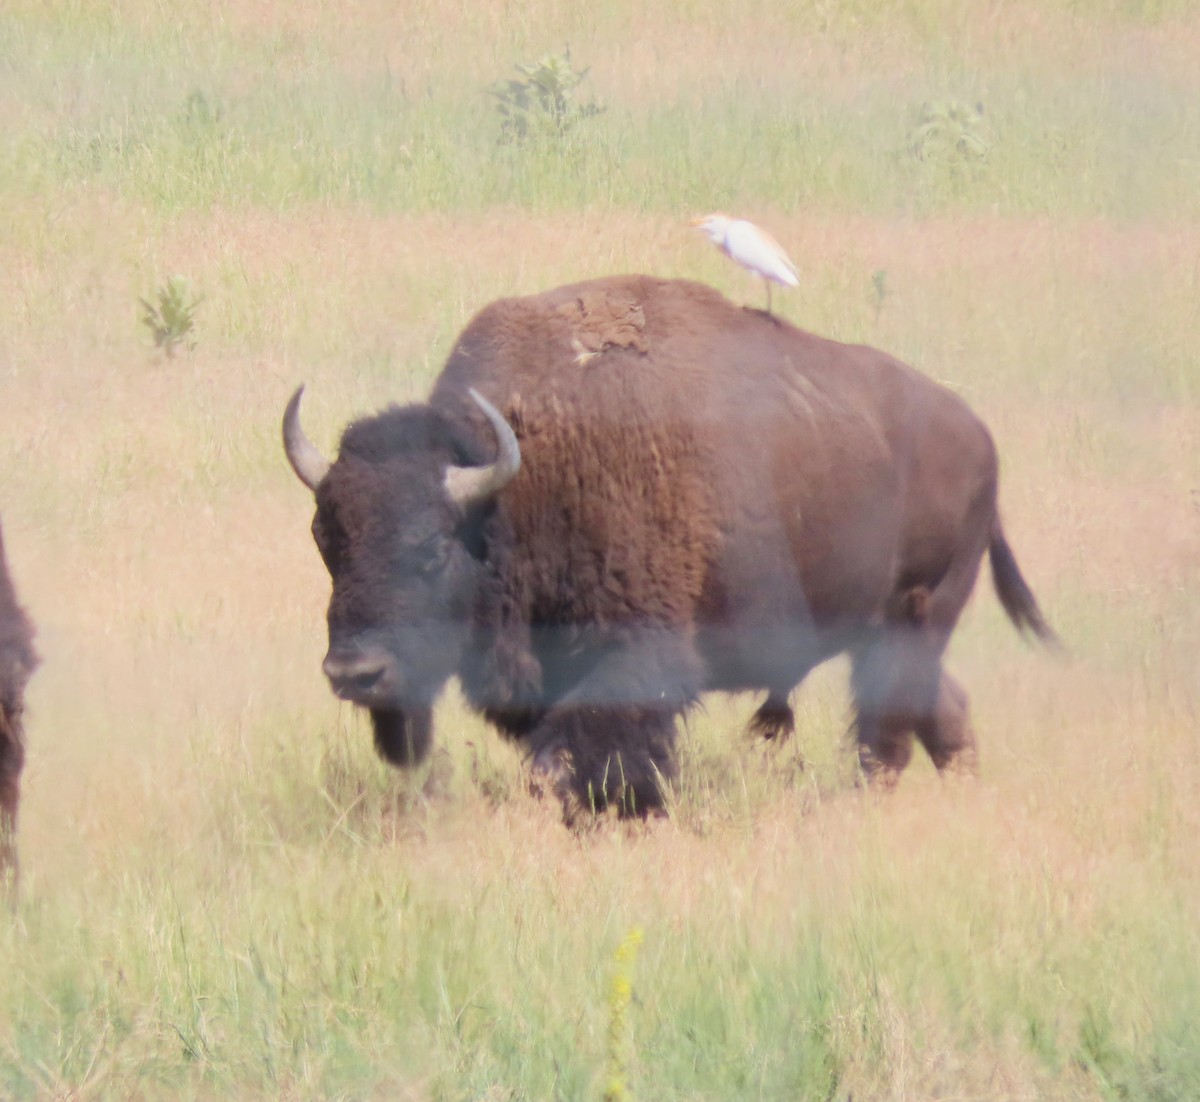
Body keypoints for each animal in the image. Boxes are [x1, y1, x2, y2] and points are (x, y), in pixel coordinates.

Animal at [285, 278, 1056, 821]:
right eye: (326, 542)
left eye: (432, 549)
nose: (355, 673)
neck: (517, 486)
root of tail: (978, 436)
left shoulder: (631, 663)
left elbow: (591, 761)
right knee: (939, 711)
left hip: (909, 622)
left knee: (887, 735)